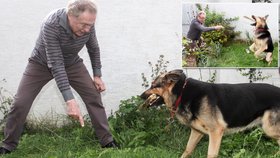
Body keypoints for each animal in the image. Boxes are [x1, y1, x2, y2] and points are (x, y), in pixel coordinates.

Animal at [141, 69, 280, 157]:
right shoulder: (197, 132)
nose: (141, 96)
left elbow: (210, 154)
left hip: (269, 128)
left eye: (153, 85)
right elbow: (187, 149)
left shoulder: (216, 132)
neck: (181, 92)